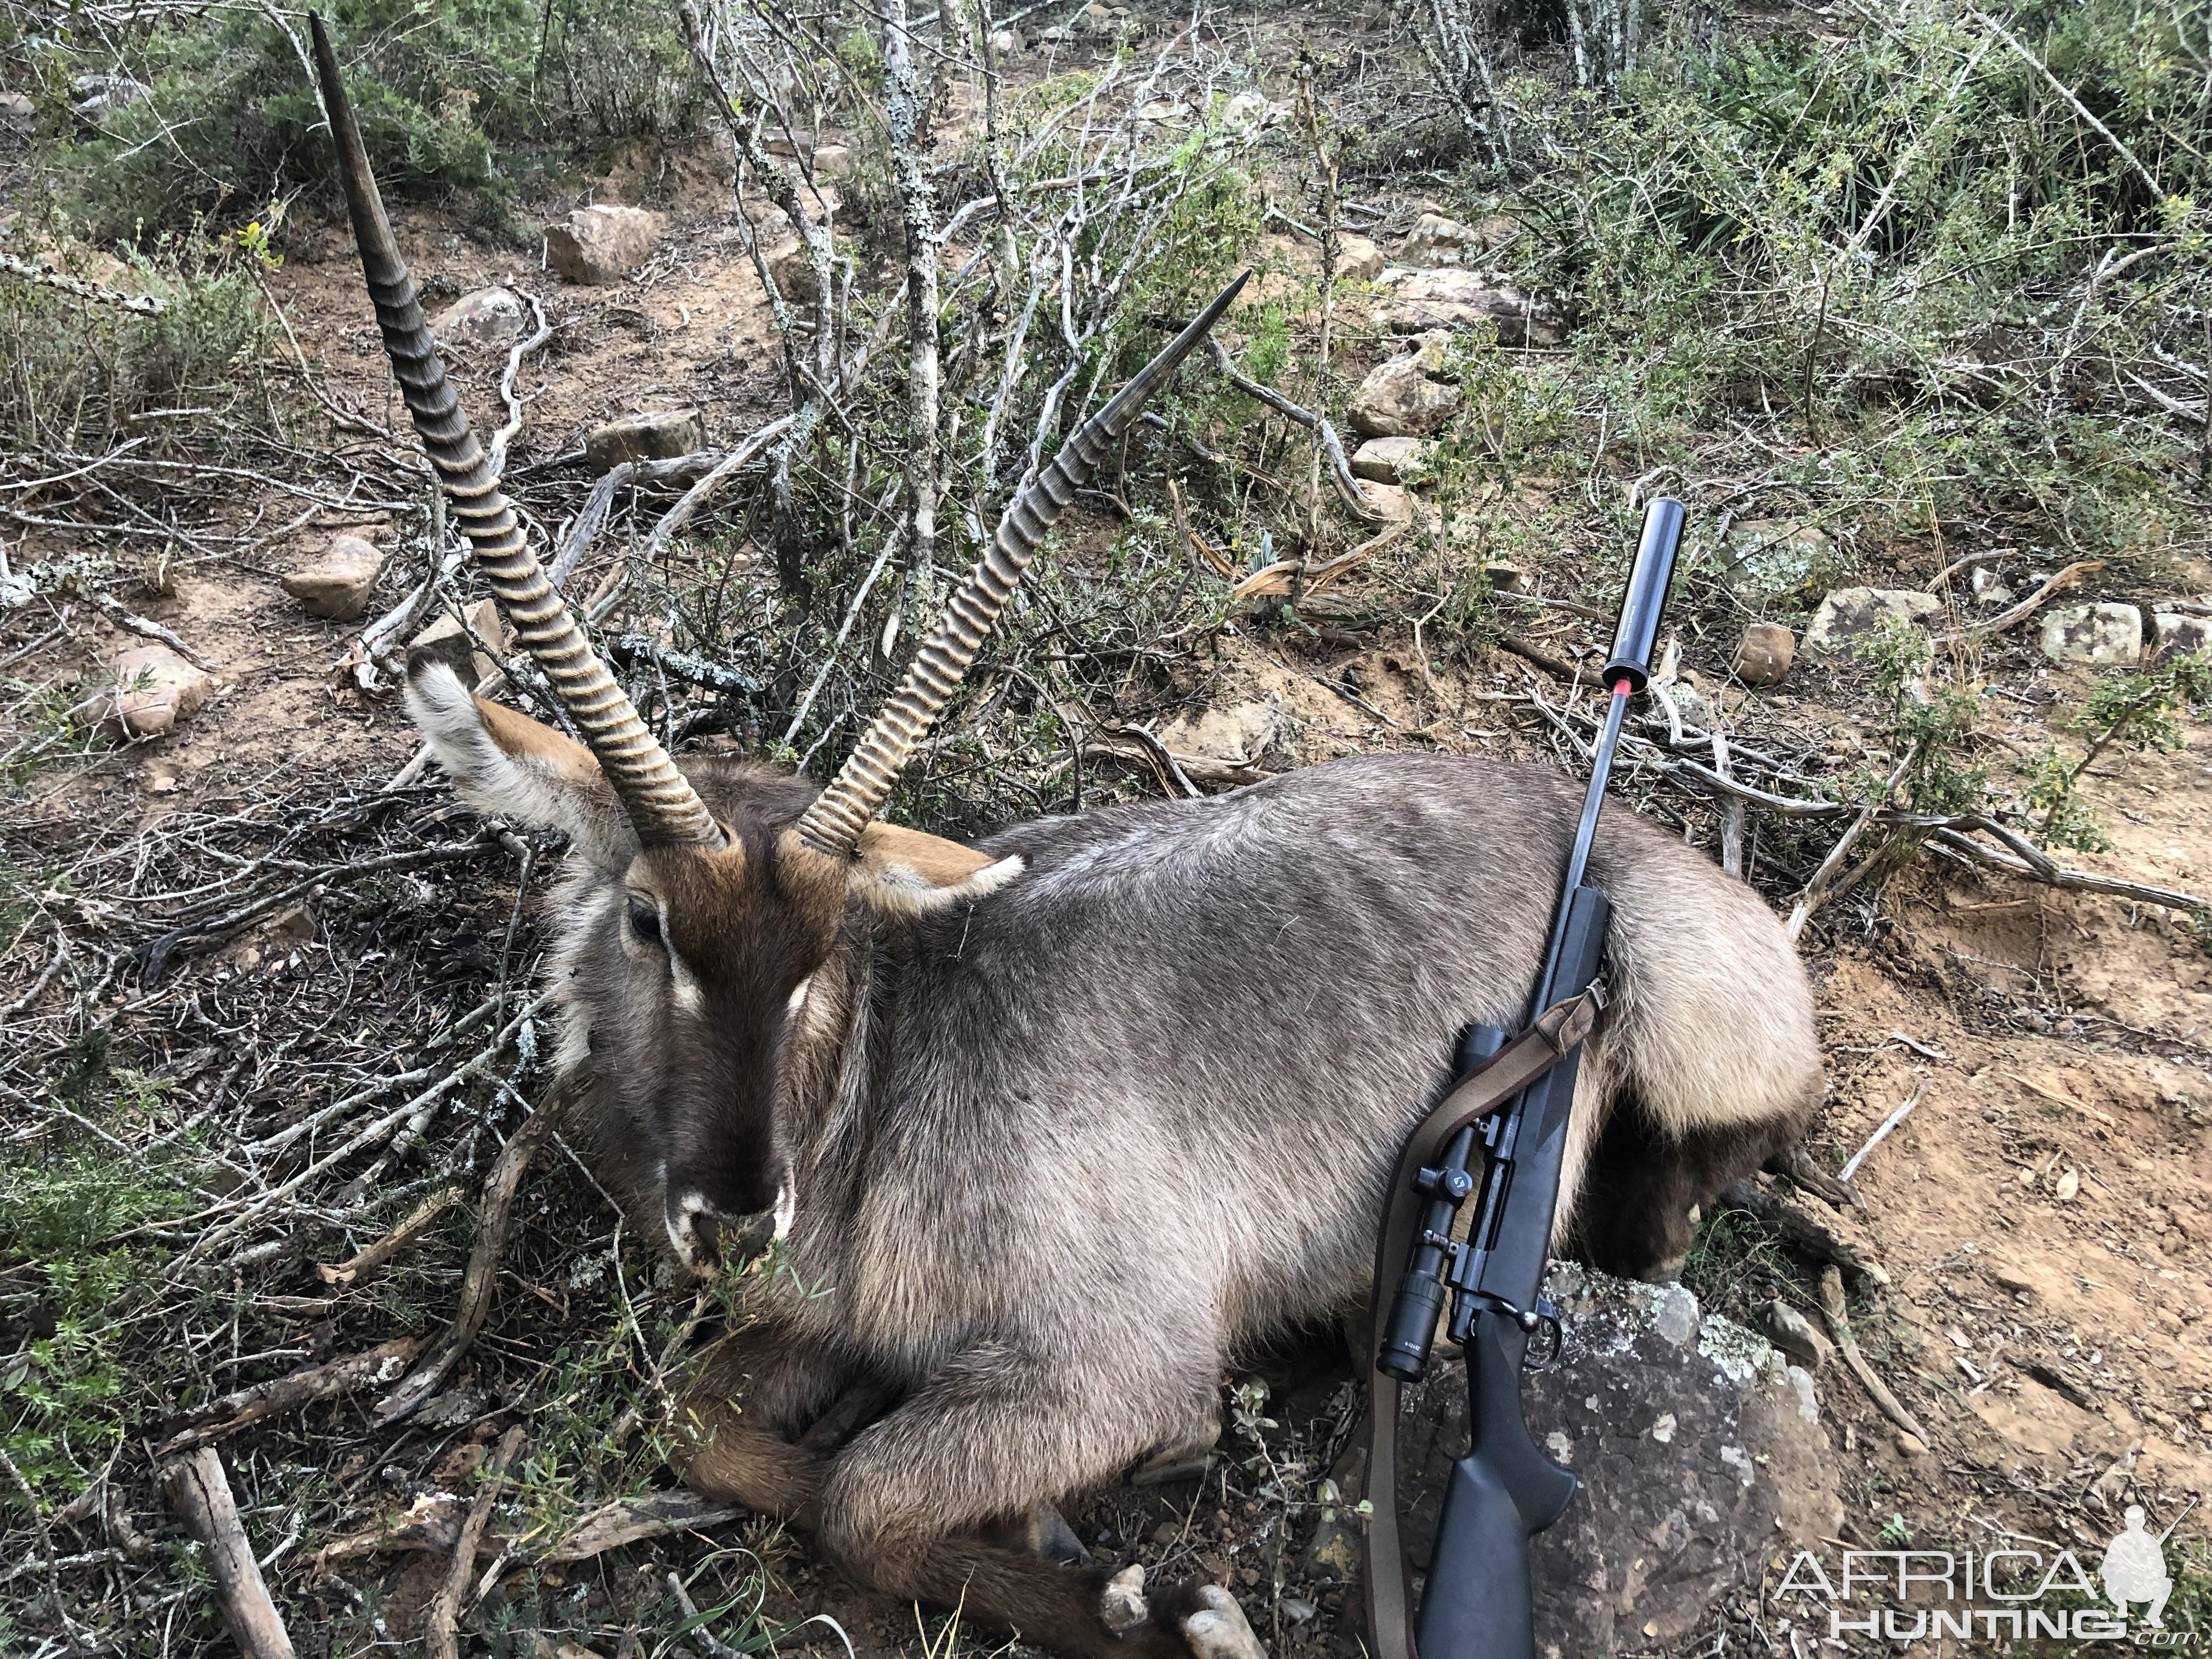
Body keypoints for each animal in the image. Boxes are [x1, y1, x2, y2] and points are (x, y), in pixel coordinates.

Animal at [307, 19, 1814, 1654]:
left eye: (822, 957)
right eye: (651, 922)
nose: (737, 1212)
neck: (888, 1064)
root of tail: (1626, 833)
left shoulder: (1108, 1358)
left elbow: (864, 1499)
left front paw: (1158, 1600)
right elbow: (694, 1415)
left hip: (1701, 1051)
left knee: (1705, 1190)